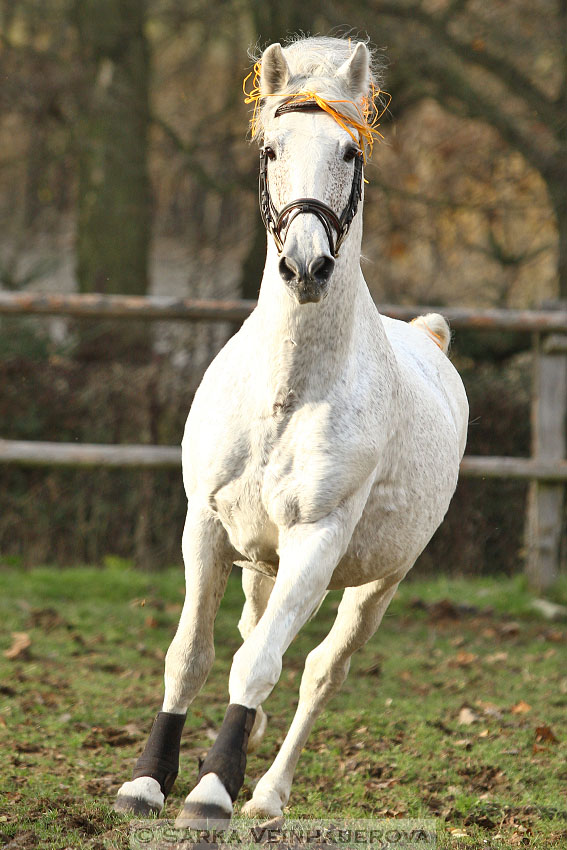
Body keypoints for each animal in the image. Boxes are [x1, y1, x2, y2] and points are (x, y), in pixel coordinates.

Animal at [116, 36, 470, 824]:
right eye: (271, 150)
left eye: (350, 153)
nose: (306, 266)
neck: (285, 394)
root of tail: (429, 337)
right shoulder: (206, 525)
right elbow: (189, 655)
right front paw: (147, 782)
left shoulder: (316, 541)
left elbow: (261, 665)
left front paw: (211, 792)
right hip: (259, 562)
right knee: (252, 634)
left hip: (377, 584)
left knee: (319, 671)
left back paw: (266, 795)